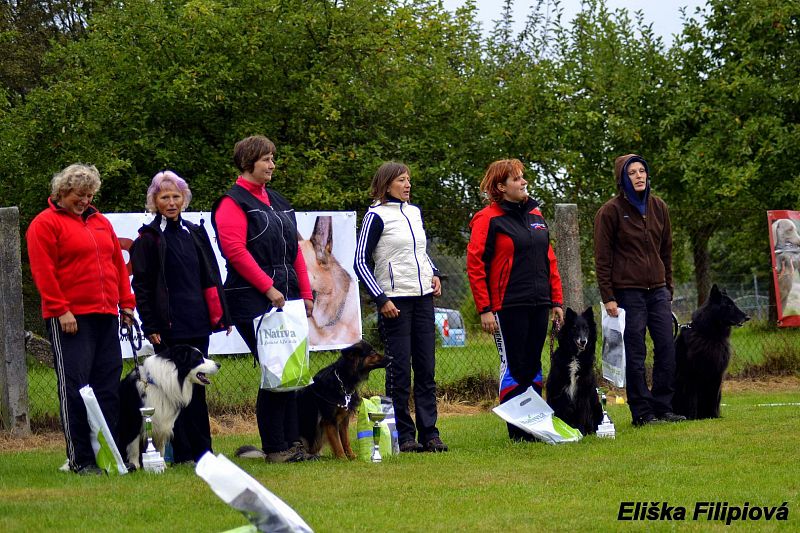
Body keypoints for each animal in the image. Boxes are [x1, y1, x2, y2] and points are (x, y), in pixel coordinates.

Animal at [544, 306, 600, 434]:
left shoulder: (583, 392)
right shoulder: (557, 392)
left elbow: (582, 414)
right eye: (574, 328)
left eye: (586, 328)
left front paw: (581, 432)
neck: (575, 356)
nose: (583, 341)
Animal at [676, 284, 752, 418]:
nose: (747, 317)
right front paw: (692, 417)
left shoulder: (717, 374)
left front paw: (713, 415)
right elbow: (692, 398)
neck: (711, 335)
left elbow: (713, 397)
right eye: (729, 305)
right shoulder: (692, 374)